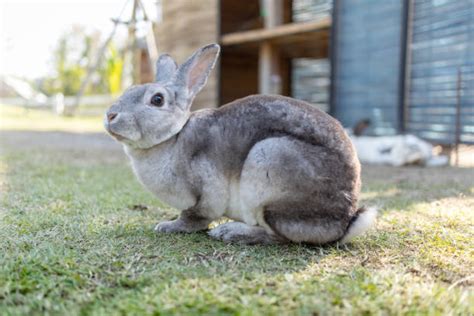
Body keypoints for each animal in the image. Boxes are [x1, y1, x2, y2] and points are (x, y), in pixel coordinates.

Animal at [104, 43, 378, 244]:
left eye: (157, 100)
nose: (110, 116)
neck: (173, 137)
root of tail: (344, 222)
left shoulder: (206, 192)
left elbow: (194, 216)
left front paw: (169, 226)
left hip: (268, 163)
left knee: (278, 236)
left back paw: (231, 232)